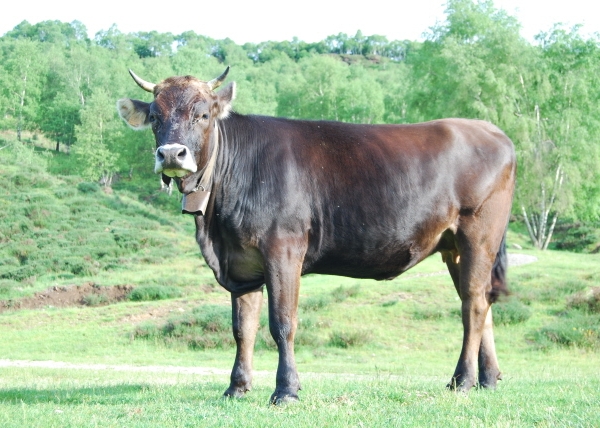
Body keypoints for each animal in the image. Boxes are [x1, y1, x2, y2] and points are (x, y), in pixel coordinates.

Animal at [116, 66, 516, 402]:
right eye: (155, 117)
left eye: (203, 114)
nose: (172, 154)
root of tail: (489, 129)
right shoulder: (241, 264)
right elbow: (242, 328)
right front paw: (236, 388)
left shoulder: (283, 250)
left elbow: (282, 324)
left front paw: (286, 390)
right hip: (454, 247)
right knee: (481, 302)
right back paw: (487, 378)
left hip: (479, 234)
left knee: (473, 303)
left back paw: (463, 380)